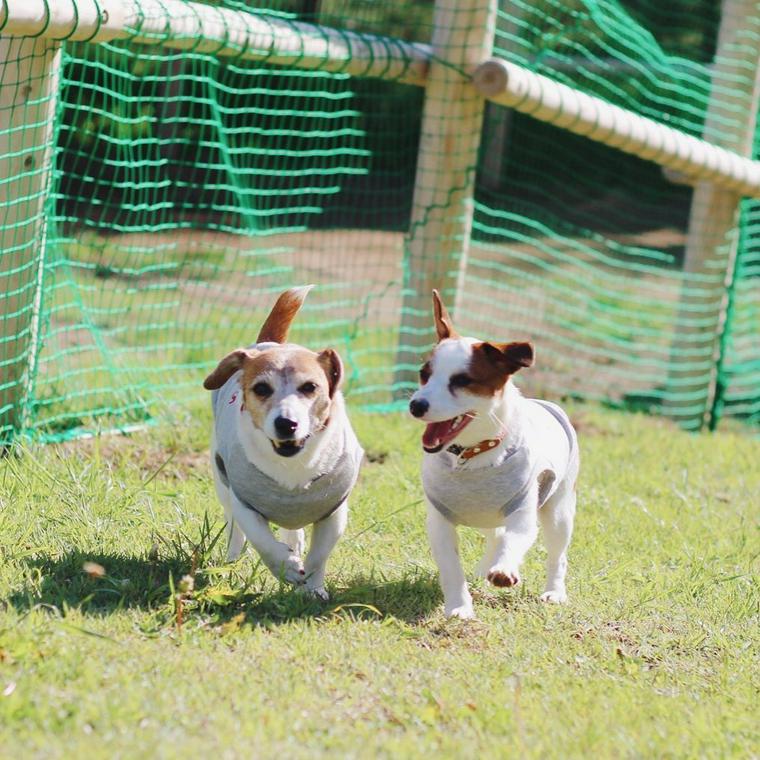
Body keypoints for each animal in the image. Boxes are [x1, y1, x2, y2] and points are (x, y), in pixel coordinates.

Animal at [203, 286, 364, 600]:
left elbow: (319, 554)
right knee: (235, 532)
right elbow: (262, 540)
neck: (293, 468)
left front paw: (312, 588)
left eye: (310, 387)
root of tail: (270, 343)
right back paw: (232, 563)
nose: (286, 423)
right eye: (261, 389)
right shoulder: (245, 502)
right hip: (222, 483)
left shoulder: (334, 511)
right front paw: (287, 567)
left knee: (295, 532)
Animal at [410, 290, 576, 616]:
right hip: (485, 515)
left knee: (556, 553)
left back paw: (554, 591)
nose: (416, 405)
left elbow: (515, 537)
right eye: (424, 374)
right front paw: (459, 607)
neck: (471, 454)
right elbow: (451, 566)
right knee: (495, 534)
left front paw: (504, 569)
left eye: (462, 381)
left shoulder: (523, 510)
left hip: (558, 509)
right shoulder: (440, 520)